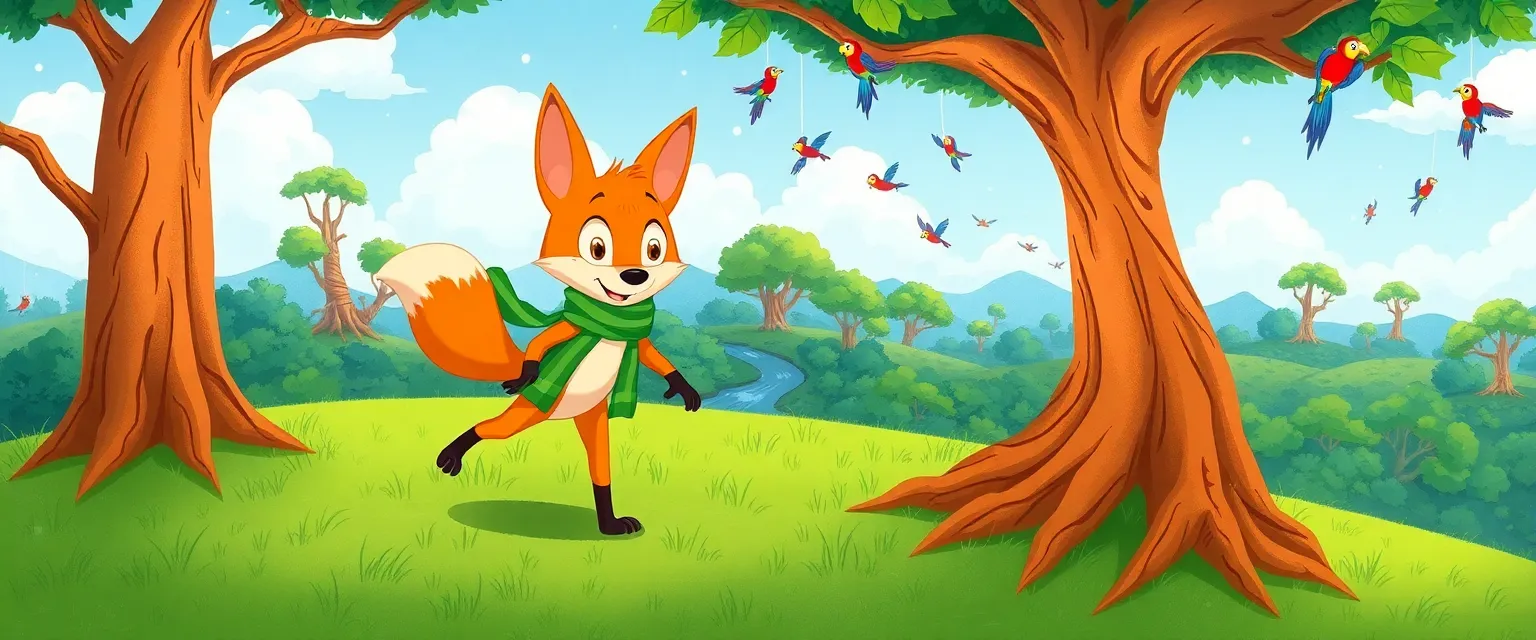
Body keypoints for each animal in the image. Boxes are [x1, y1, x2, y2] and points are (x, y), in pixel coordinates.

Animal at [374, 84, 703, 536]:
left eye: (654, 248)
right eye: (596, 247)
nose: (635, 275)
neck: (608, 323)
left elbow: (654, 355)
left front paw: (684, 388)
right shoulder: (571, 329)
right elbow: (546, 339)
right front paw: (527, 370)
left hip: (592, 417)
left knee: (601, 469)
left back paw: (609, 523)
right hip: (531, 409)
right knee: (490, 428)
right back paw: (453, 452)